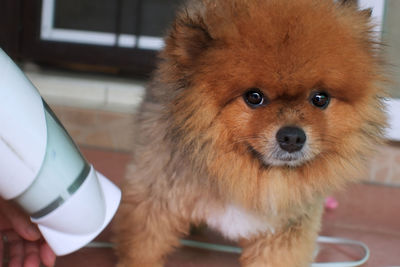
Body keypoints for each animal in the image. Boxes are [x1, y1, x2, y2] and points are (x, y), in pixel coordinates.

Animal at [113, 1, 388, 266]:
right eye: (254, 97)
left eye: (320, 99)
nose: (292, 137)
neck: (247, 172)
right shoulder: (157, 200)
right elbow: (144, 247)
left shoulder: (283, 232)